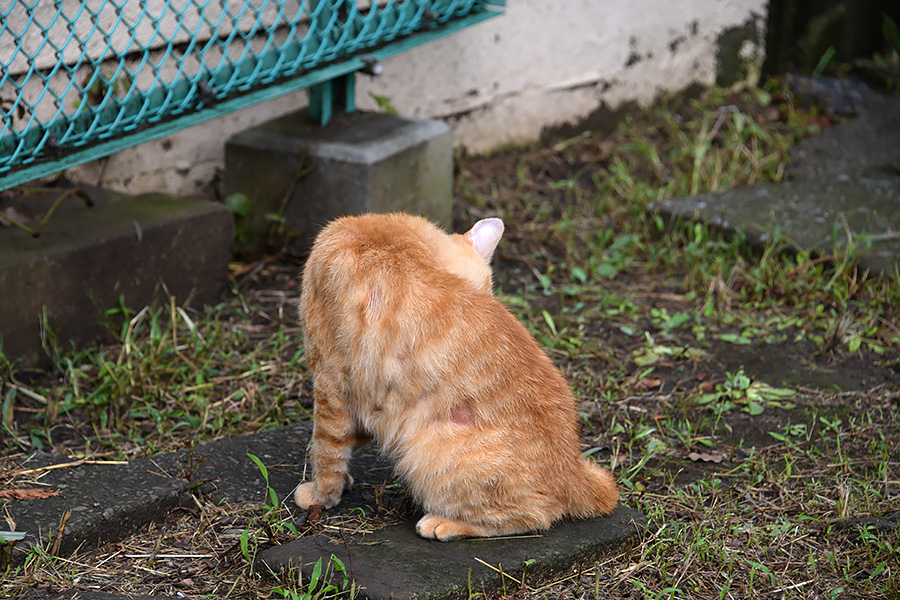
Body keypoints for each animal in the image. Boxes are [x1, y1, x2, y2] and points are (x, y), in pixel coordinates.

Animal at [296, 213, 620, 540]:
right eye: (480, 297)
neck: (389, 234)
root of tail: (574, 468)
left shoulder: (331, 383)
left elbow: (325, 450)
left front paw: (320, 495)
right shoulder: (366, 402)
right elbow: (350, 440)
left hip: (426, 455)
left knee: (535, 515)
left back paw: (443, 523)